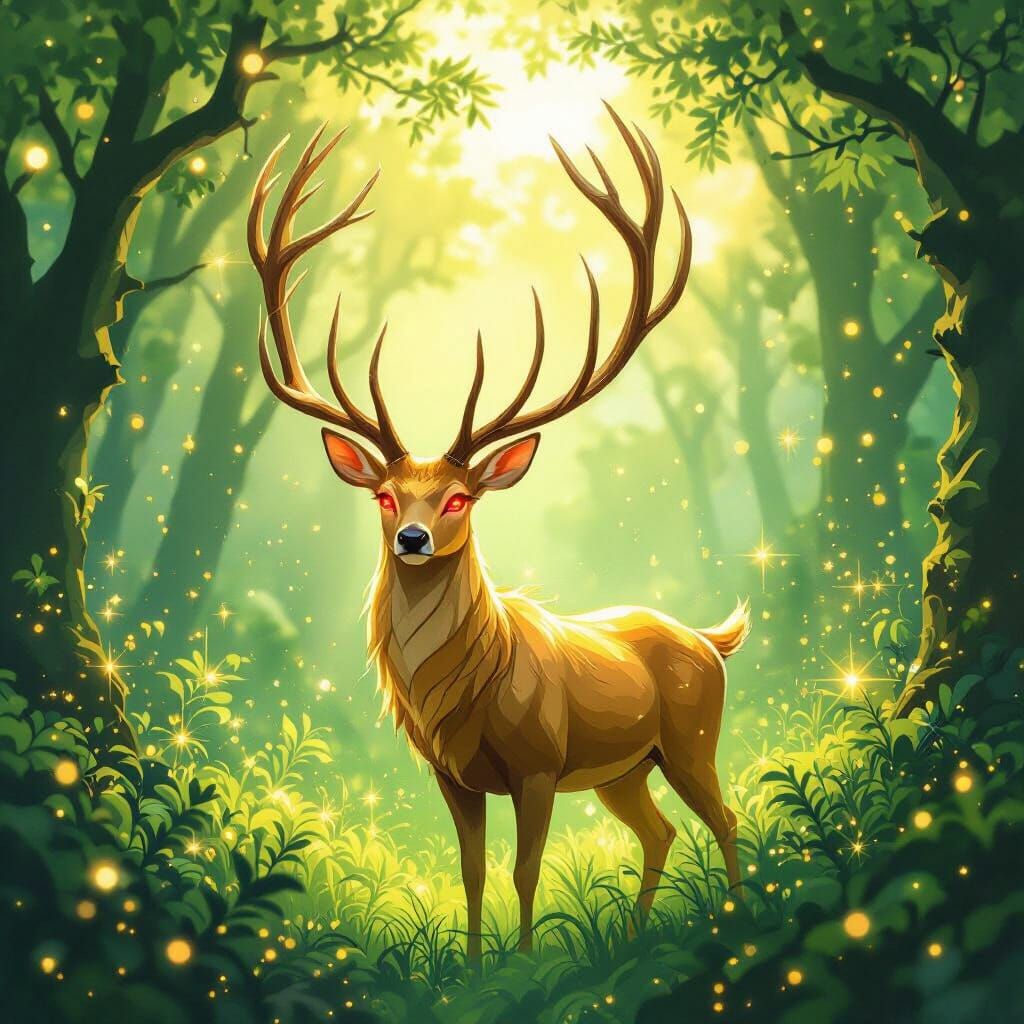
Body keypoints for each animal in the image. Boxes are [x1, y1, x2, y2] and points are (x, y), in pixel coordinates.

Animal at [248, 107, 750, 958]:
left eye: (459, 499)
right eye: (385, 497)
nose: (412, 541)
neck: (463, 697)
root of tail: (710, 640)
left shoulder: (540, 765)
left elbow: (525, 870)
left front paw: (522, 965)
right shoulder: (451, 774)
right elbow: (474, 872)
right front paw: (480, 968)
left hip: (690, 737)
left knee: (724, 817)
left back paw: (743, 916)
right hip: (624, 770)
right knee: (659, 832)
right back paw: (635, 935)